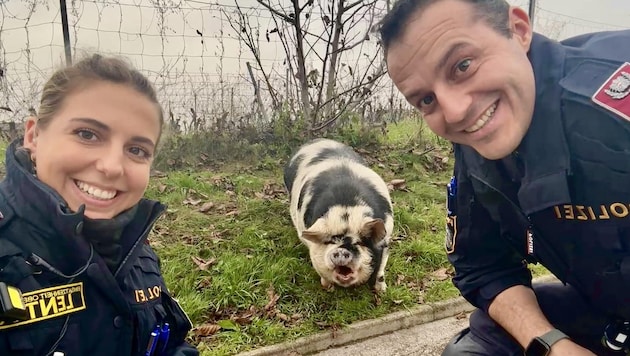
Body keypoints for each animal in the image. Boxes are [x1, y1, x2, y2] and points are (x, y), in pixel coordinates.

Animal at [286, 138, 396, 290]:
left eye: (359, 242)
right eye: (330, 241)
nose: (341, 250)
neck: (347, 210)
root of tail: (319, 140)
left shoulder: (386, 239)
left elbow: (380, 269)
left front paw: (381, 290)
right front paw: (328, 288)